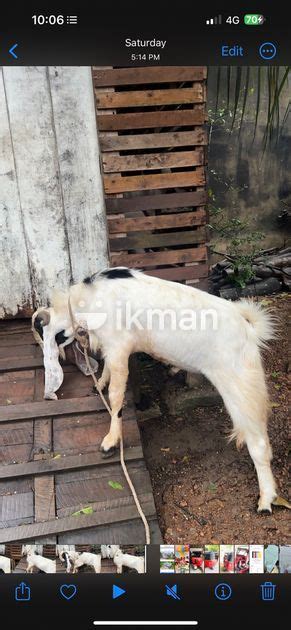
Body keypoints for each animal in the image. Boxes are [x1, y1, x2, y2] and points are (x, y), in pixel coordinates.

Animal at [32, 266, 278, 512]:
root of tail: (248, 328)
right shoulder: (112, 348)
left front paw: (110, 441)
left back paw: (266, 500)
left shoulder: (119, 346)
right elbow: (107, 370)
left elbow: (116, 395)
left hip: (241, 386)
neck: (86, 299)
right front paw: (99, 383)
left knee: (259, 442)